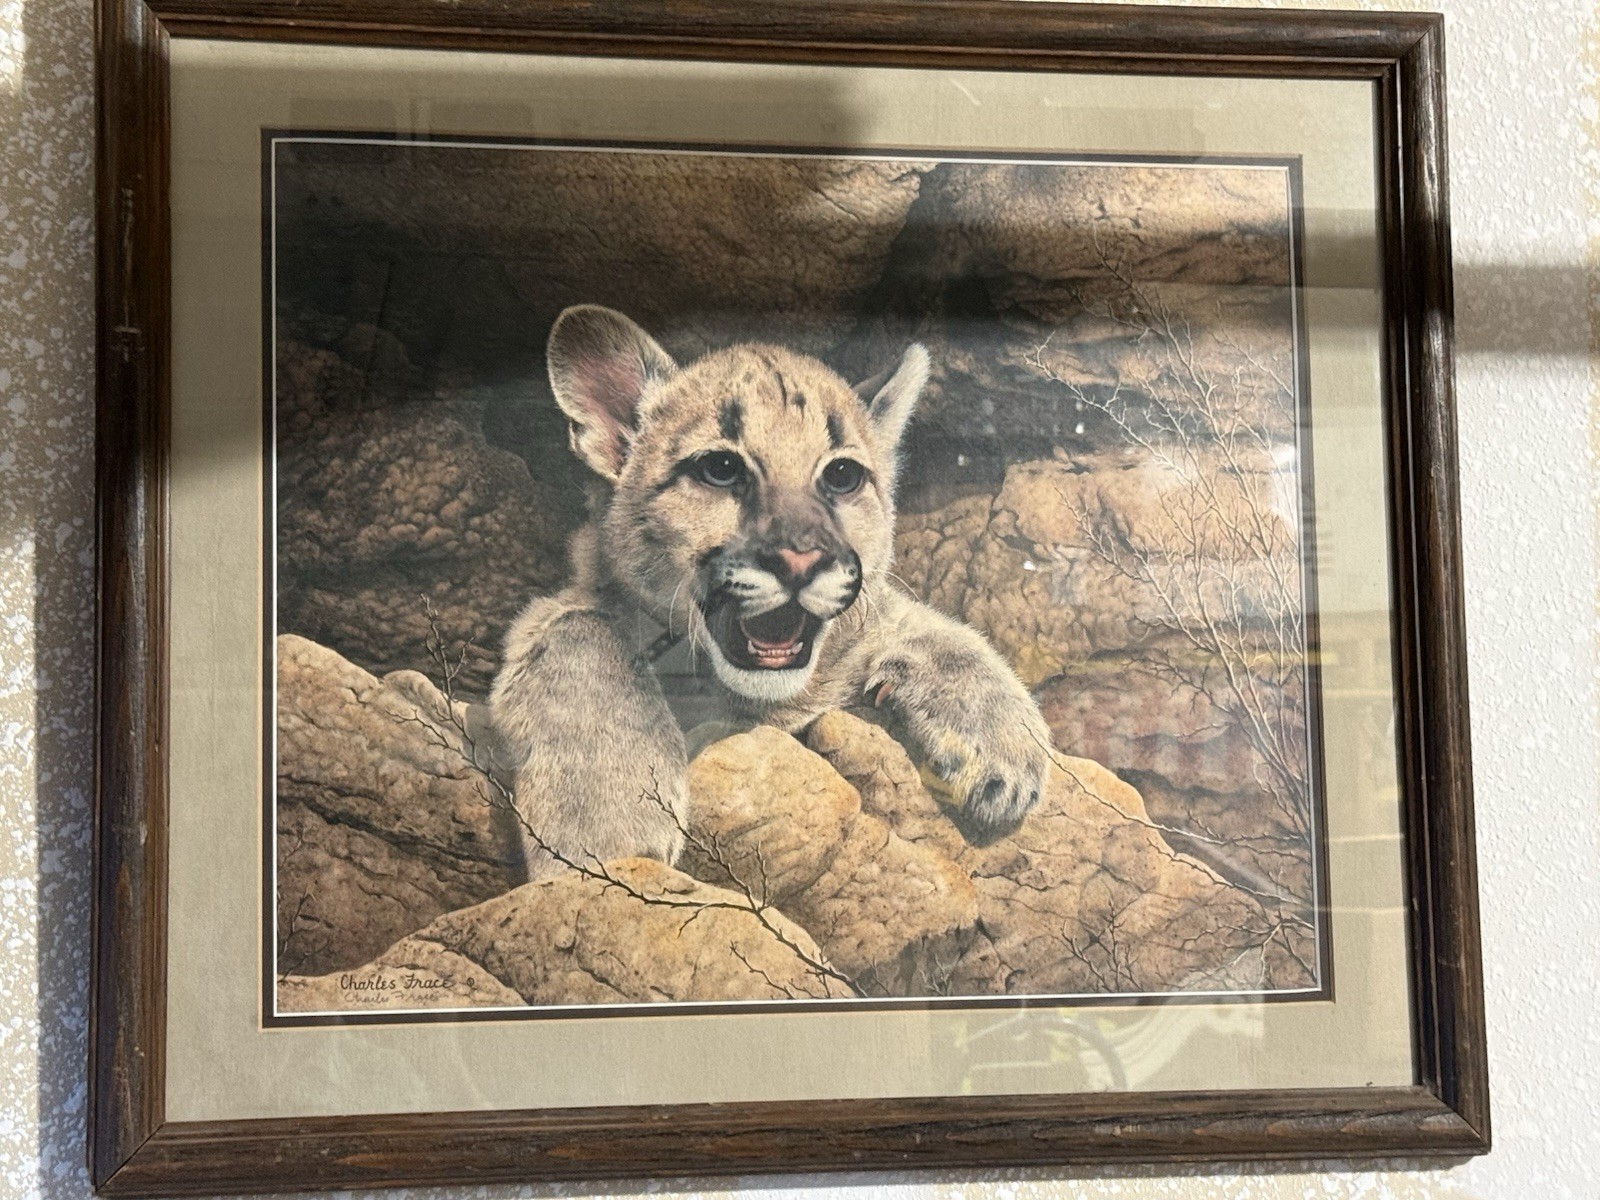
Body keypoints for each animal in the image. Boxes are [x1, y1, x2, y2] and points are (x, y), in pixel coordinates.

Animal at [490, 305, 1053, 879]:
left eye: (843, 475)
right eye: (720, 468)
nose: (800, 559)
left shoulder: (870, 618)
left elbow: (940, 630)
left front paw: (1005, 750)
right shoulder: (554, 610)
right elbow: (584, 631)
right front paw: (607, 828)